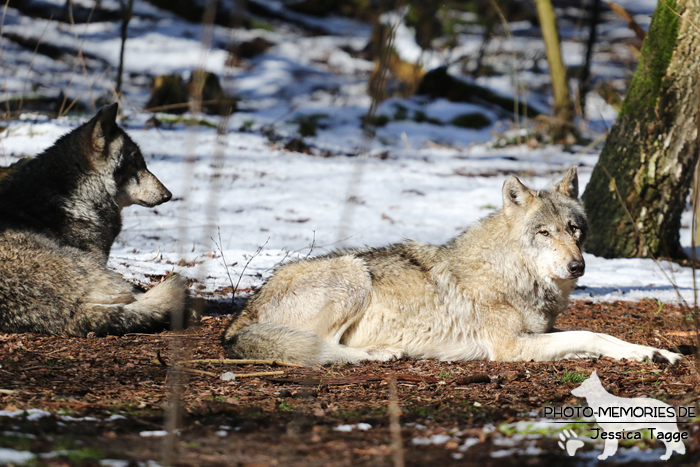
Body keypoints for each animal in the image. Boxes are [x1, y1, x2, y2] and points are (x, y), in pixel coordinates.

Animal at [223, 167, 680, 366]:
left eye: (574, 229)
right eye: (544, 233)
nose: (577, 266)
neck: (512, 273)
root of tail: (239, 317)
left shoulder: (538, 333)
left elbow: (596, 336)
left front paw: (655, 351)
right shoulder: (510, 348)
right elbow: (591, 334)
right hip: (354, 274)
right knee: (323, 349)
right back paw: (380, 353)